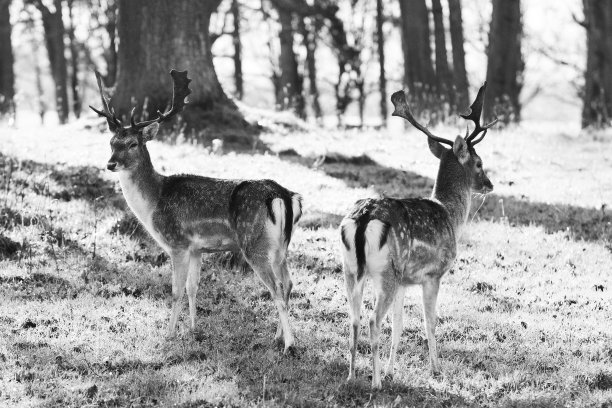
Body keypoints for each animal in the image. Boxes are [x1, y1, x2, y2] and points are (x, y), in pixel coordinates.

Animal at [89, 70, 302, 354]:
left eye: (133, 143)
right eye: (112, 142)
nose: (111, 164)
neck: (154, 201)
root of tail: (282, 195)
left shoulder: (177, 243)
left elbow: (176, 290)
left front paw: (169, 335)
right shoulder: (196, 249)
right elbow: (193, 288)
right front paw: (192, 330)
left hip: (254, 243)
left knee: (277, 288)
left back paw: (289, 344)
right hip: (280, 247)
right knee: (288, 283)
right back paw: (277, 337)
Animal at [340, 83, 498, 388]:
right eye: (479, 163)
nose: (490, 184)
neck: (451, 216)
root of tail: (364, 217)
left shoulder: (405, 281)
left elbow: (399, 325)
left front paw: (392, 370)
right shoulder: (433, 274)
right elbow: (430, 322)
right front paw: (435, 369)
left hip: (351, 268)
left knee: (353, 317)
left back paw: (352, 376)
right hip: (387, 272)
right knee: (372, 320)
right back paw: (375, 382)